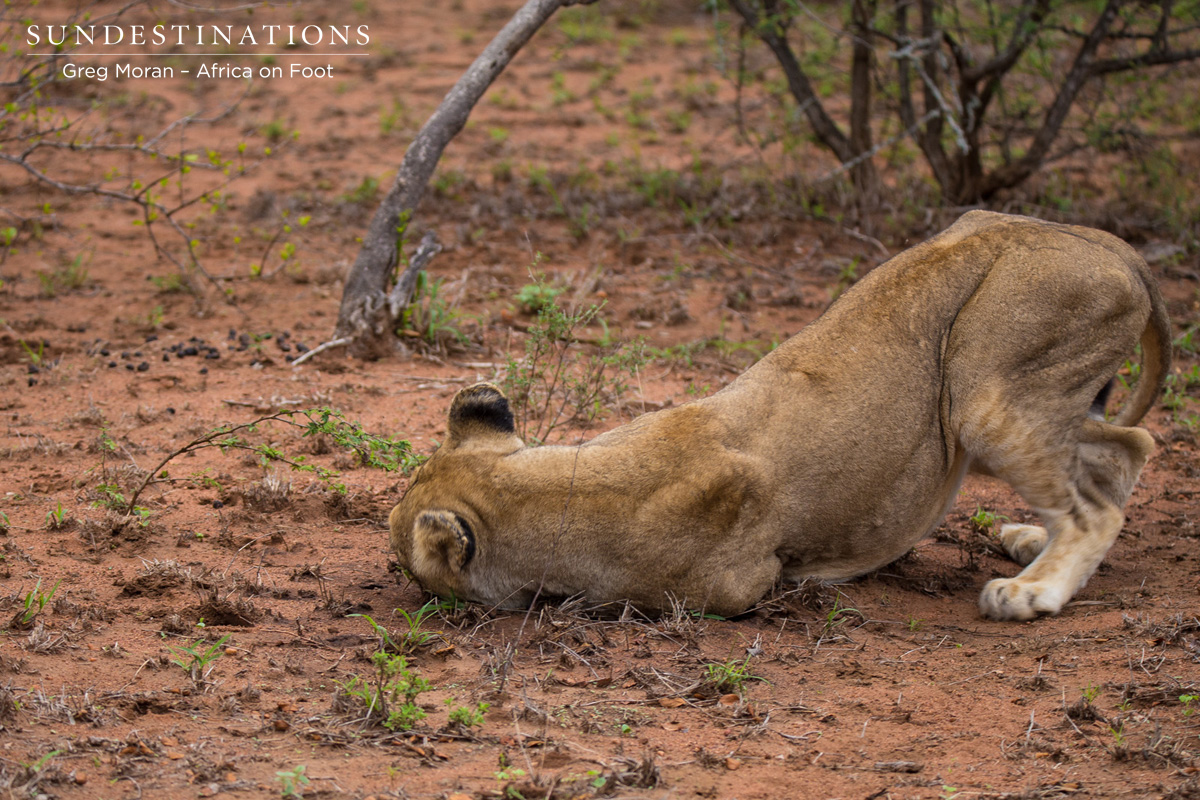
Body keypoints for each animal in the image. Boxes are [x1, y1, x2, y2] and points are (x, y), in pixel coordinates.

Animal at [389, 211, 1170, 621]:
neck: (549, 489)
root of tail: (1111, 244)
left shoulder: (738, 589)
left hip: (987, 397)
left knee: (1100, 499)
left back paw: (1031, 589)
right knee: (1127, 445)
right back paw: (1030, 542)